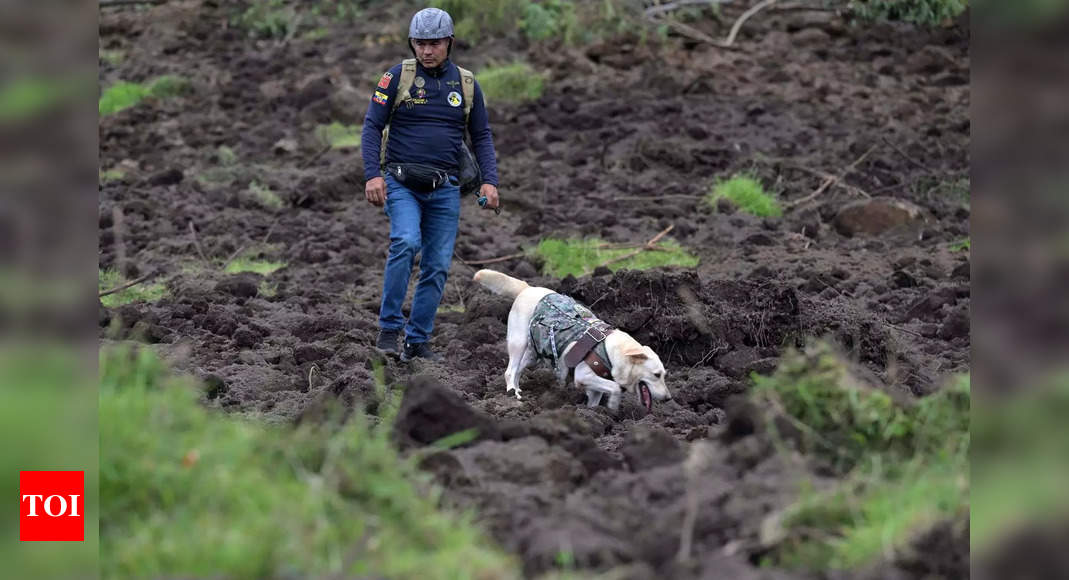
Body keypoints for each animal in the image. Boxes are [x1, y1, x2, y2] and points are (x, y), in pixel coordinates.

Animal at [474, 269, 671, 412]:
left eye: (664, 375)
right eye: (656, 375)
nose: (669, 398)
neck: (611, 351)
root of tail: (527, 288)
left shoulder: (594, 385)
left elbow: (596, 398)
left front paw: (593, 413)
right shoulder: (583, 375)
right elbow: (614, 387)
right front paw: (613, 406)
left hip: (532, 354)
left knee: (518, 369)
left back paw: (518, 389)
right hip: (518, 341)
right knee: (509, 371)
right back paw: (512, 394)